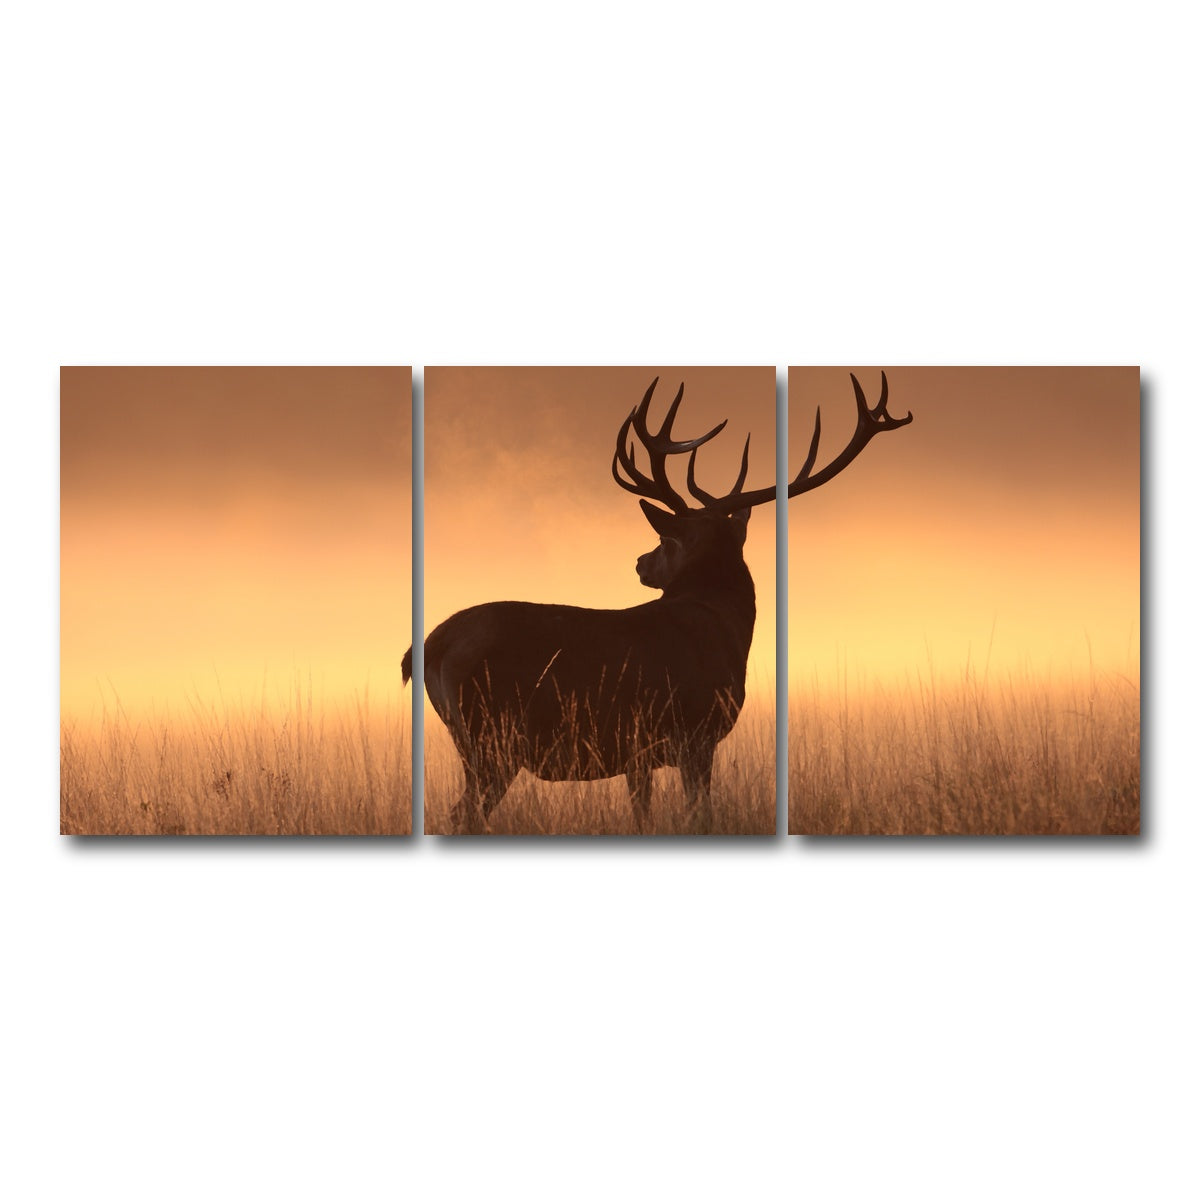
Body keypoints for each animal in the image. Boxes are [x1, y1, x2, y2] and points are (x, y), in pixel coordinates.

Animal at [403, 372, 912, 833]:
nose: (640, 562)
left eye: (666, 542)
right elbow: (700, 817)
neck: (726, 630)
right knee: (462, 815)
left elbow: (643, 816)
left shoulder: (638, 754)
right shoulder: (695, 733)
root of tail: (427, 648)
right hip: (491, 737)